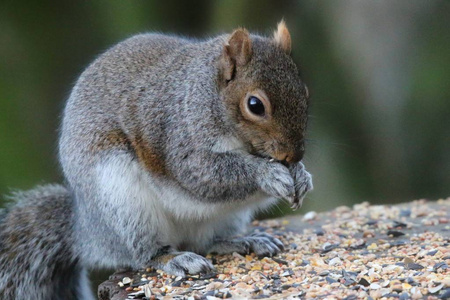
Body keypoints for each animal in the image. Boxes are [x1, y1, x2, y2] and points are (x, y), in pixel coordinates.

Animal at [0, 19, 312, 298]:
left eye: (305, 93)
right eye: (255, 105)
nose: (294, 154)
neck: (207, 95)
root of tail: (87, 233)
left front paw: (302, 176)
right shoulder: (179, 137)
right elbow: (204, 175)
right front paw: (269, 175)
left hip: (227, 217)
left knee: (205, 241)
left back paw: (242, 241)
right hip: (123, 202)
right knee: (146, 254)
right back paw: (175, 258)